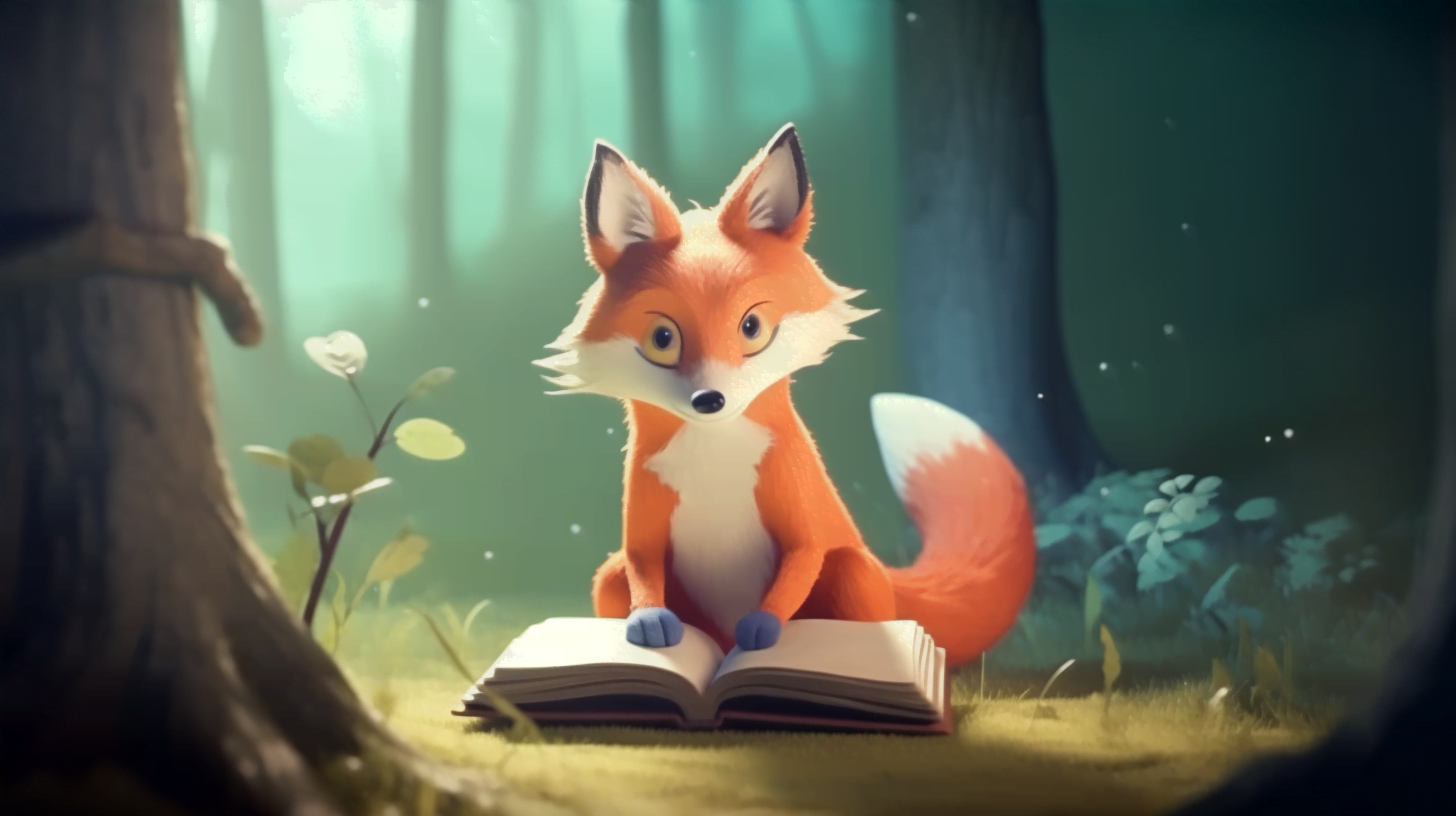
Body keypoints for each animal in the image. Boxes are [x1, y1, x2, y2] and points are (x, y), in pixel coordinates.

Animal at [534, 123, 1037, 667]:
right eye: (662, 339)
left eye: (752, 327)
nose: (710, 400)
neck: (712, 459)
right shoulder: (644, 521)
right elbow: (642, 563)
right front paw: (649, 620)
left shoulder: (795, 499)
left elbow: (802, 557)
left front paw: (764, 631)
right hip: (610, 580)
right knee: (615, 578)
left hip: (854, 573)